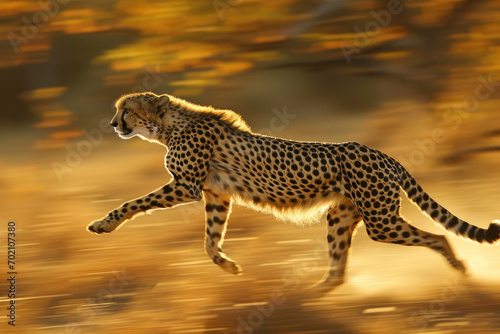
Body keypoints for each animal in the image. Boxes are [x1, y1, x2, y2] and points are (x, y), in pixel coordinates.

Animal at [89, 92, 500, 292]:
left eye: (126, 110)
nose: (112, 124)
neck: (168, 125)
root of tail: (382, 153)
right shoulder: (217, 196)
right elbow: (210, 238)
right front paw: (227, 264)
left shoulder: (186, 186)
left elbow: (133, 202)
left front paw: (103, 224)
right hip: (341, 217)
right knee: (337, 271)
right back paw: (308, 295)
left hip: (381, 221)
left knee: (439, 237)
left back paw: (461, 268)